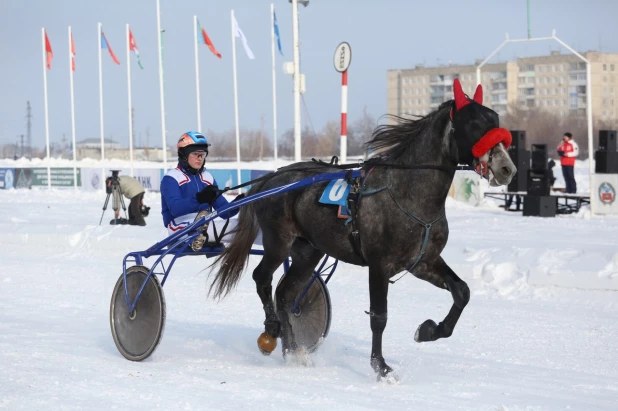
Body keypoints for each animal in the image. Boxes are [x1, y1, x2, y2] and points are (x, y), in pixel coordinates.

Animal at [208, 79, 516, 382]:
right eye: (474, 124)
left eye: (496, 120)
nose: (507, 169)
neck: (408, 193)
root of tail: (270, 179)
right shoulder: (379, 264)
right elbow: (379, 317)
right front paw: (381, 367)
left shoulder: (423, 262)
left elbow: (461, 291)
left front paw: (428, 330)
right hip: (278, 241)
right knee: (262, 278)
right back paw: (272, 330)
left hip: (308, 251)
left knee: (285, 294)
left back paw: (294, 351)